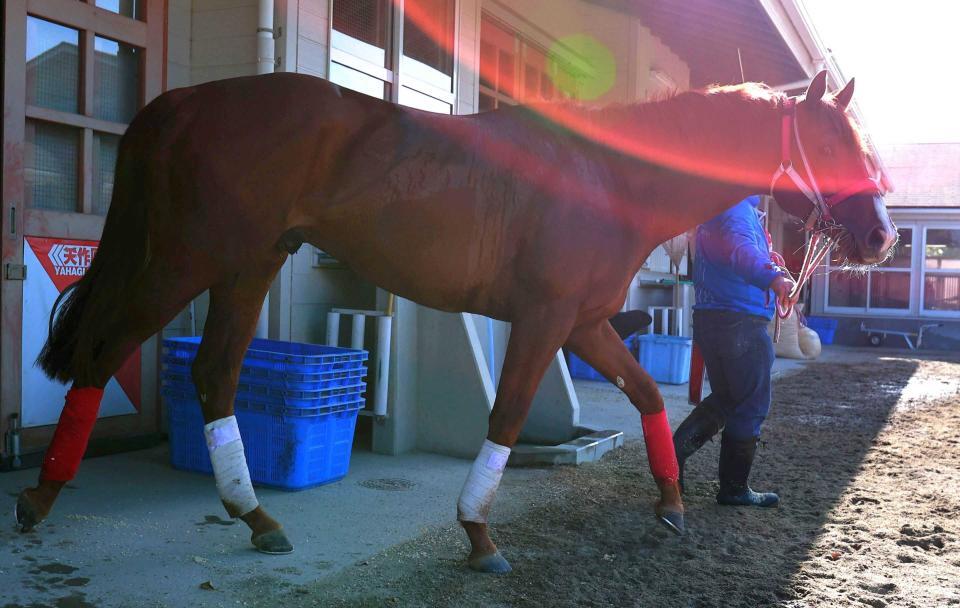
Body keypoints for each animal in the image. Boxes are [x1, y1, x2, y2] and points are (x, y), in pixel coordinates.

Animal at [15, 69, 896, 572]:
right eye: (834, 139)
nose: (880, 236)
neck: (605, 177)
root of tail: (183, 101)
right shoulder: (544, 321)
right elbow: (506, 416)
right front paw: (478, 533)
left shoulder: (584, 325)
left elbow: (648, 395)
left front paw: (672, 504)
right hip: (187, 259)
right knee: (103, 352)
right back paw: (41, 499)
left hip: (248, 263)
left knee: (213, 373)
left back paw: (257, 516)